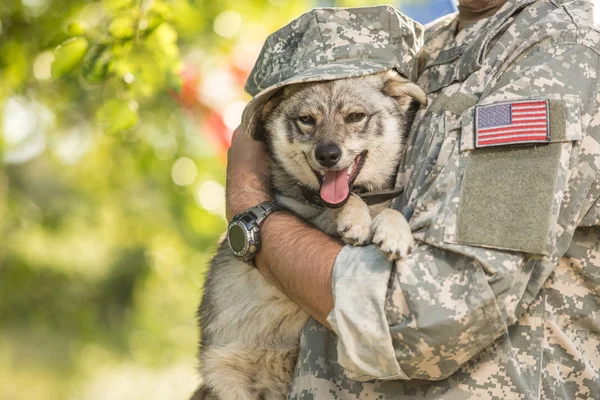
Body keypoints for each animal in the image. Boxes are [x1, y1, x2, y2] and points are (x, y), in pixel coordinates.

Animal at [192, 70, 426, 398]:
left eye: (355, 116)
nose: (328, 154)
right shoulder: (301, 213)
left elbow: (388, 210)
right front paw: (356, 219)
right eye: (306, 119)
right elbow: (348, 203)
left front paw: (395, 231)